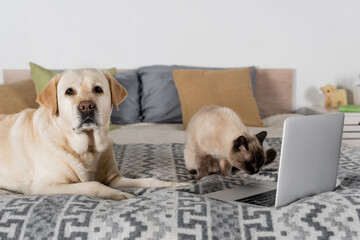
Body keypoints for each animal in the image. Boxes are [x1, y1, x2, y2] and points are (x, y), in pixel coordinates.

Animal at [0, 68, 186, 200]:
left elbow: (149, 180)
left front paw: (173, 184)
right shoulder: (46, 185)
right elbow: (93, 184)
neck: (88, 148)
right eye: (69, 91)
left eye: (98, 89)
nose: (86, 106)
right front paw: (119, 194)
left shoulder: (115, 178)